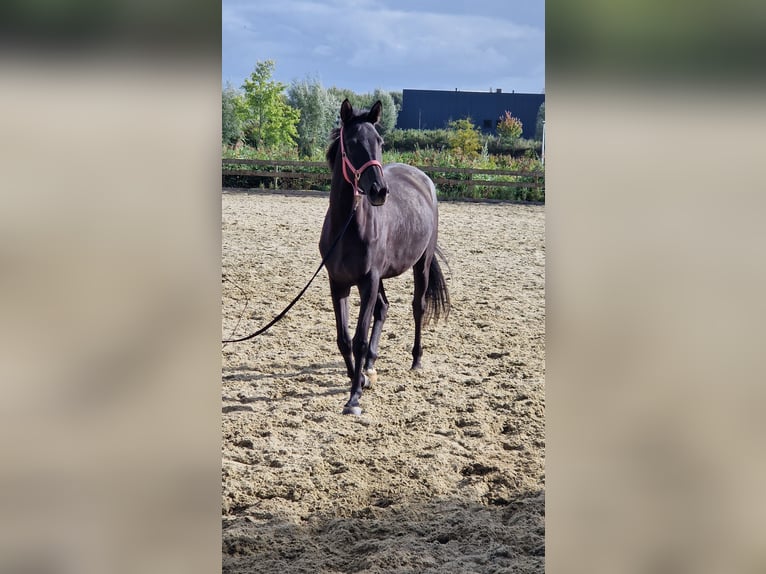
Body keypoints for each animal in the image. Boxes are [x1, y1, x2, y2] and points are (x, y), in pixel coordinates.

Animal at [320, 99, 450, 415]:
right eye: (353, 143)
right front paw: (360, 379)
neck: (348, 225)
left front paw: (354, 397)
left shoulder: (368, 280)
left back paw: (416, 359)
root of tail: (423, 179)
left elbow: (358, 339)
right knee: (384, 308)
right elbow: (344, 339)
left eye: (379, 141)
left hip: (420, 265)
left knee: (418, 306)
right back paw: (370, 366)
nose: (379, 191)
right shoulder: (338, 283)